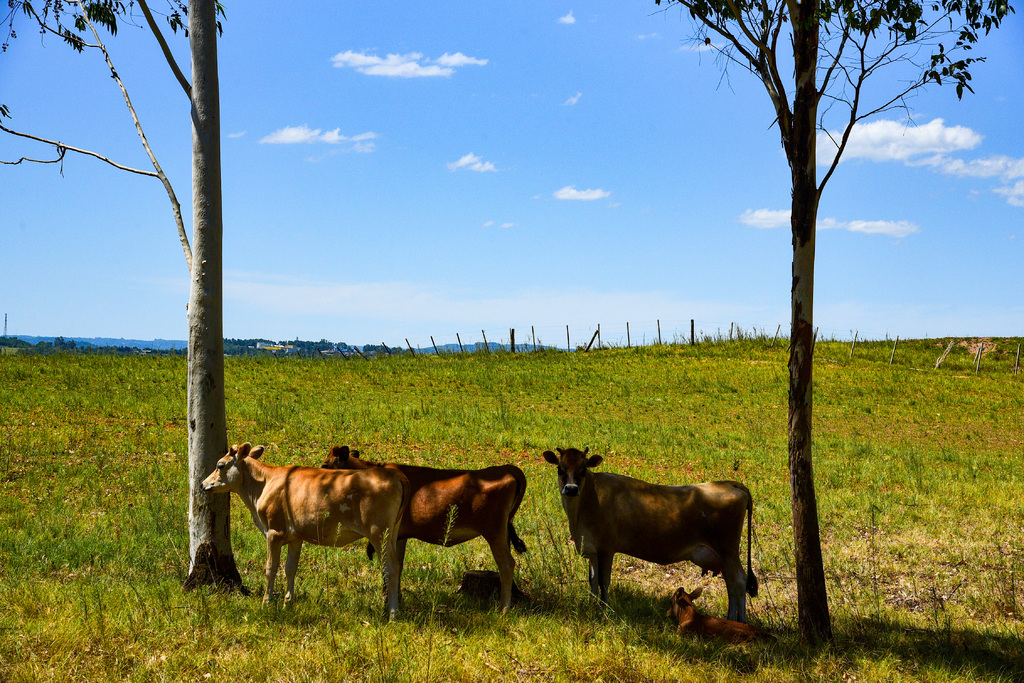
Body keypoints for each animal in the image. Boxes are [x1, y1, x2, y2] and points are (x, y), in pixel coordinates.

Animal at [199, 444, 407, 618]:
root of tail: (393, 474)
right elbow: (290, 568)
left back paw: (393, 614)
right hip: (392, 532)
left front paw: (267, 602)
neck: (263, 485)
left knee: (390, 568)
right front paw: (287, 603)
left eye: (220, 465)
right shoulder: (295, 537)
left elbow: (271, 568)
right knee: (396, 566)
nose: (202, 484)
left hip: (378, 532)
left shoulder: (274, 531)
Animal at [321, 446, 528, 610]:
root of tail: (507, 468)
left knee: (506, 564)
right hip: (503, 531)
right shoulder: (400, 535)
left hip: (494, 531)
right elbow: (398, 566)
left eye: (324, 465)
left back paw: (503, 608)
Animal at [544, 446, 761, 622]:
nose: (571, 489)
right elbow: (592, 581)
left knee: (739, 581)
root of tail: (730, 483)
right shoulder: (592, 548)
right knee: (731, 584)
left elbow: (603, 582)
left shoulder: (606, 548)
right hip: (722, 556)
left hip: (728, 550)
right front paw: (593, 607)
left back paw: (739, 621)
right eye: (560, 469)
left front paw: (604, 610)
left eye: (583, 470)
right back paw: (730, 618)